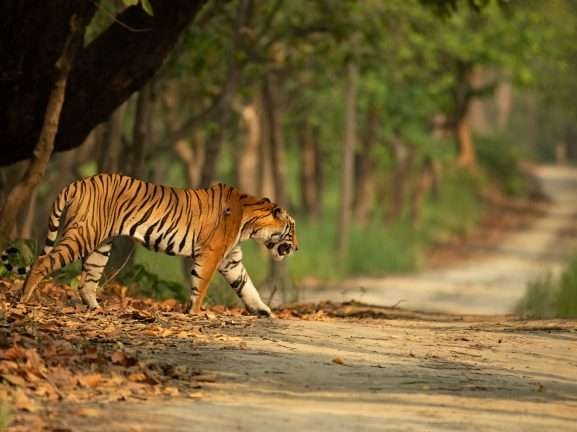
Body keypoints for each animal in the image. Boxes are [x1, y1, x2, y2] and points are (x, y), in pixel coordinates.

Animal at [16, 172, 300, 318]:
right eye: (293, 228)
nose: (297, 247)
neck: (249, 223)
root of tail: (79, 182)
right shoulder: (212, 253)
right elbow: (201, 284)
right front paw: (196, 312)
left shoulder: (231, 259)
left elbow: (246, 285)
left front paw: (263, 310)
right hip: (84, 234)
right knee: (43, 261)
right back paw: (23, 298)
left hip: (101, 246)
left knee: (87, 281)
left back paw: (97, 308)